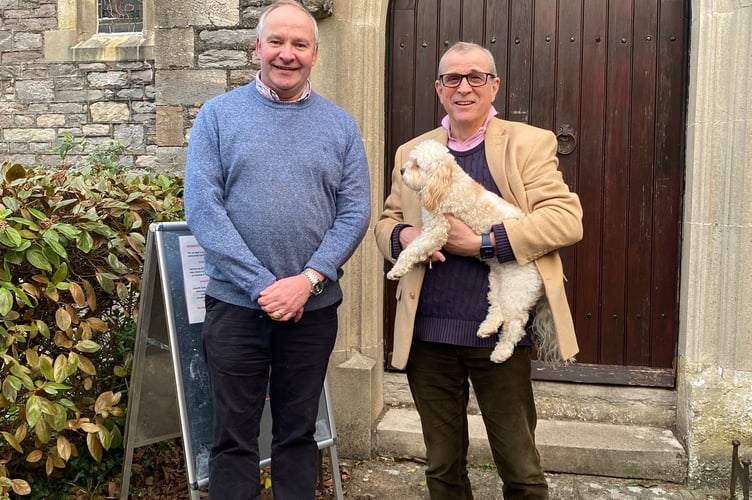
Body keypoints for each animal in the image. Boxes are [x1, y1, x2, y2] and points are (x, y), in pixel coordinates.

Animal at [388, 140, 560, 364]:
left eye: (417, 165)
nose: (401, 170)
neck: (447, 184)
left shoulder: (437, 230)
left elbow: (411, 250)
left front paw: (397, 270)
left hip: (517, 289)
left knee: (515, 323)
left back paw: (501, 352)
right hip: (498, 281)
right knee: (497, 309)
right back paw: (487, 328)